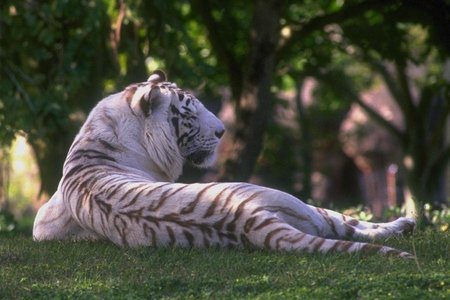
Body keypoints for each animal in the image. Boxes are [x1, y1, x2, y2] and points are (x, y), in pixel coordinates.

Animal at [33, 70, 416, 258]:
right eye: (189, 111)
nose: (222, 130)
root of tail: (245, 219)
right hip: (292, 201)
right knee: (345, 223)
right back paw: (406, 223)